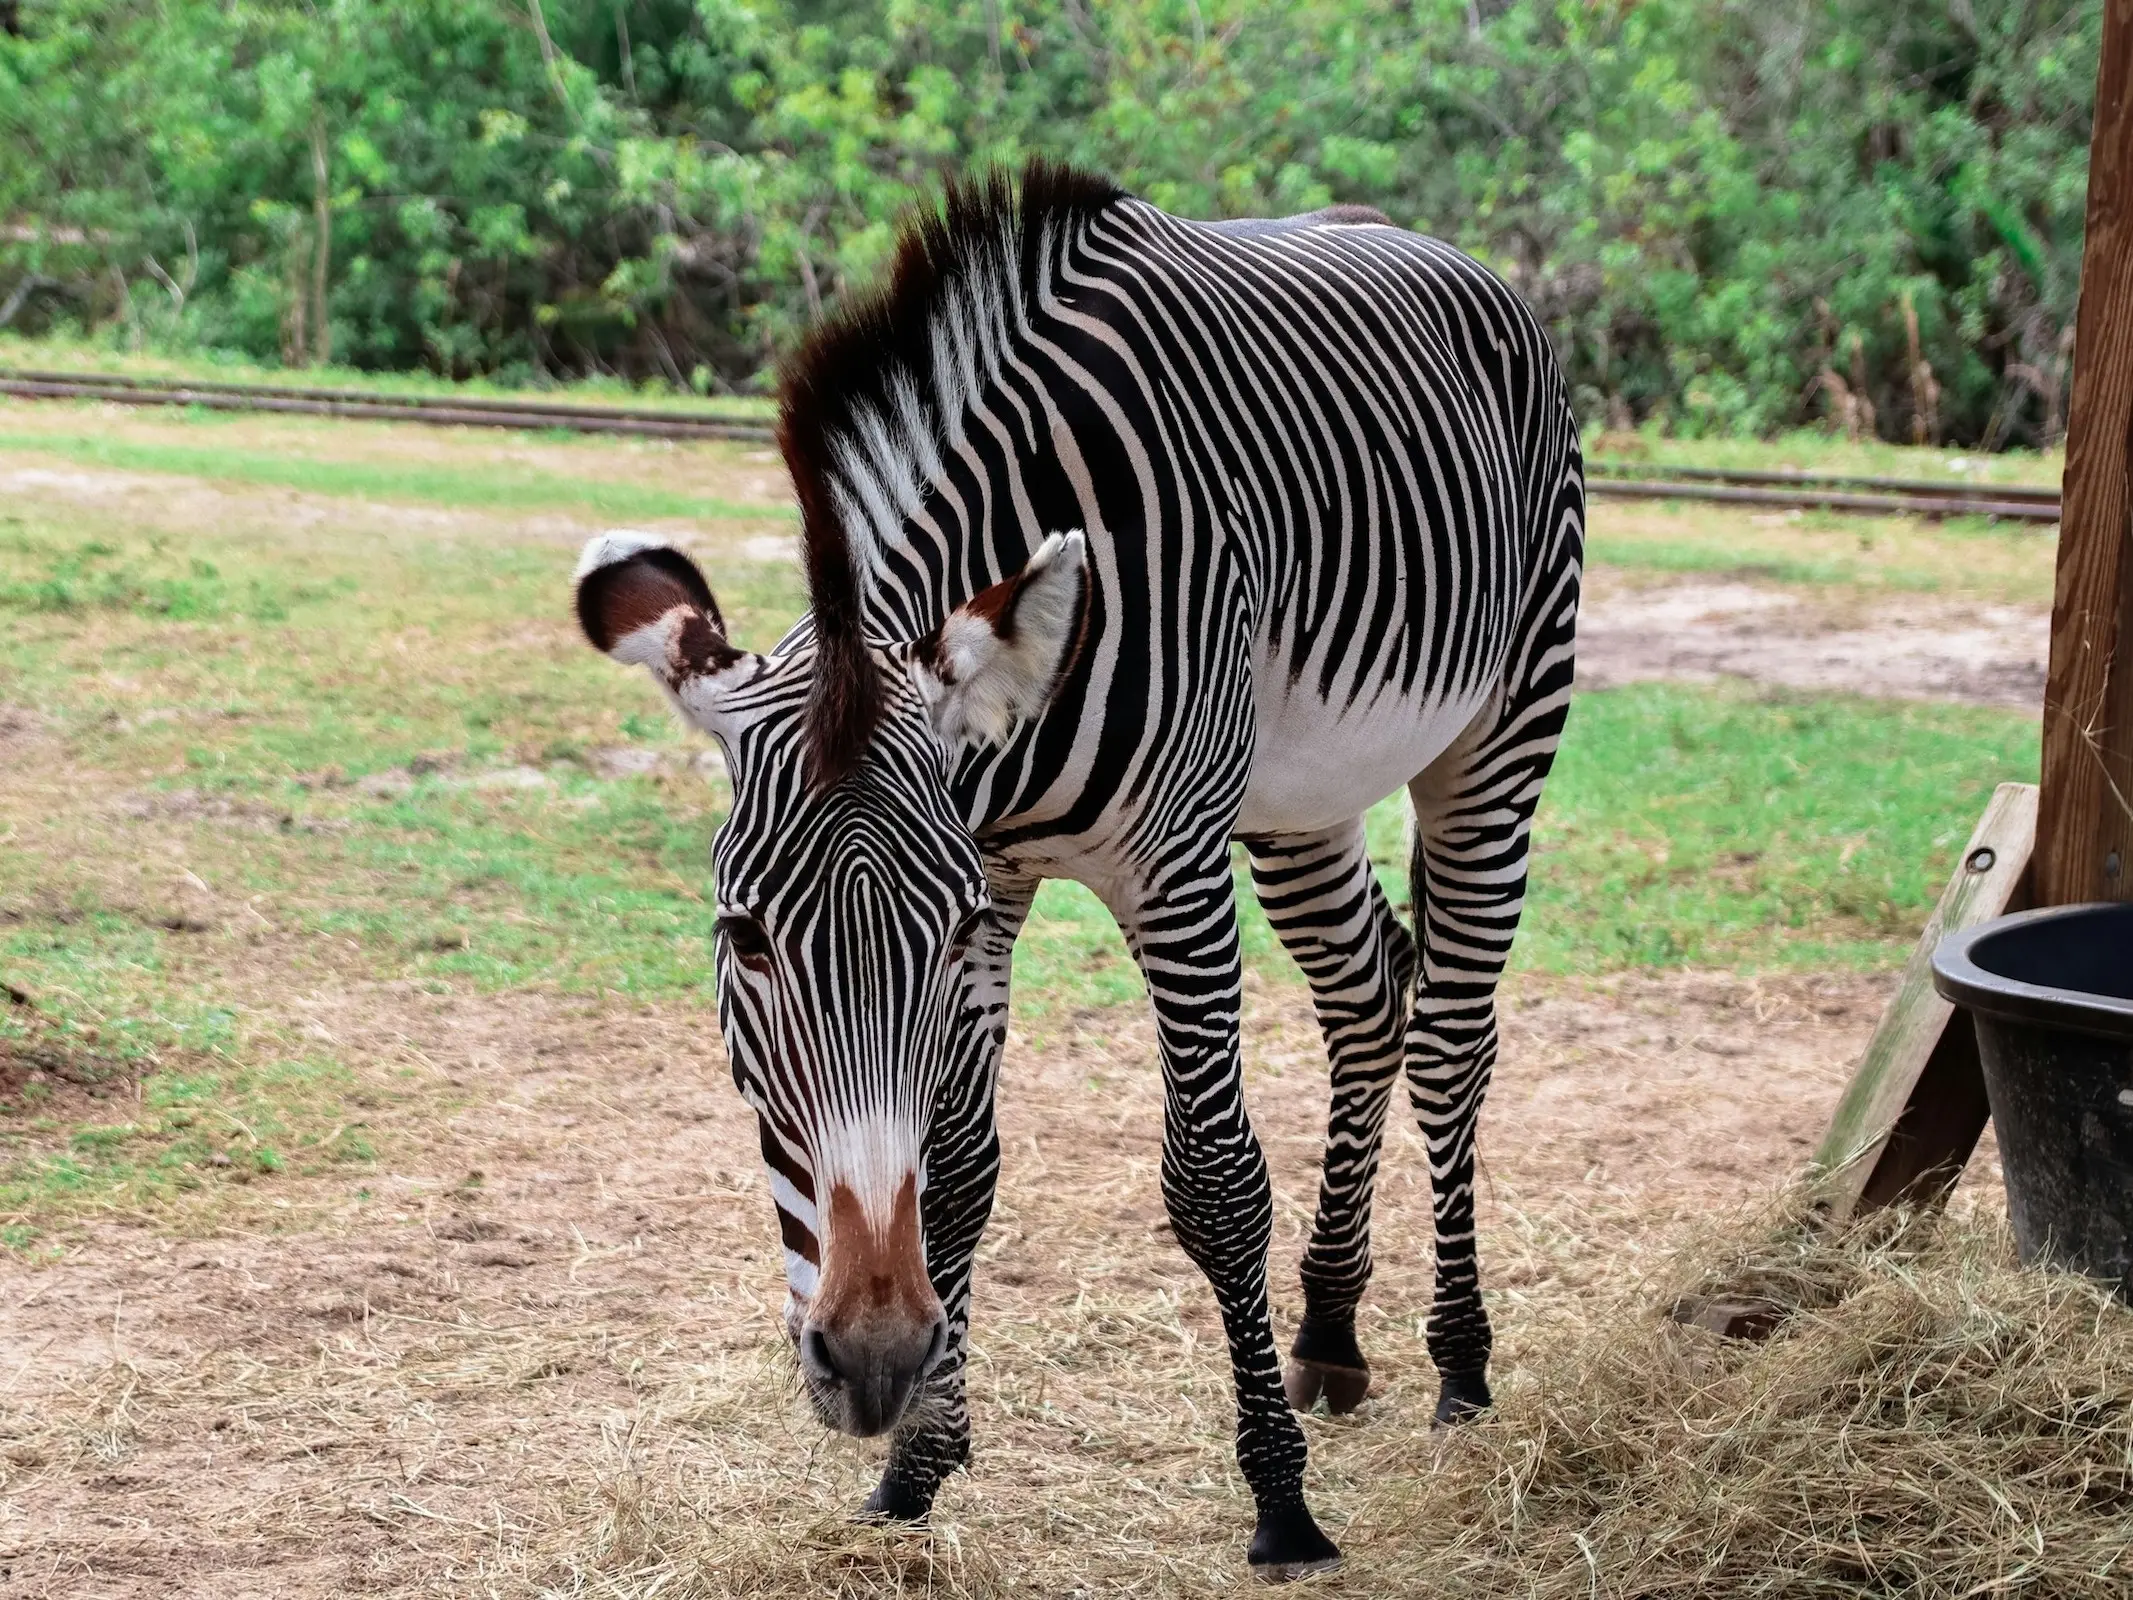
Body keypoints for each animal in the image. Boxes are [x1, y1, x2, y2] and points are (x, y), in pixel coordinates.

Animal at [571, 163, 1586, 1578]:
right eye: (746, 939)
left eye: (936, 936)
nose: (871, 1363)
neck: (1016, 745)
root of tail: (1435, 248)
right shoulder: (995, 865)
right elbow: (957, 1167)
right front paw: (916, 1466)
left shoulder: (1164, 869)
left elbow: (1213, 1179)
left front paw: (1282, 1503)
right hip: (1298, 797)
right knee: (1371, 998)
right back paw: (1331, 1332)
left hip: (1501, 727)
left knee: (1451, 1037)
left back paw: (1461, 1365)